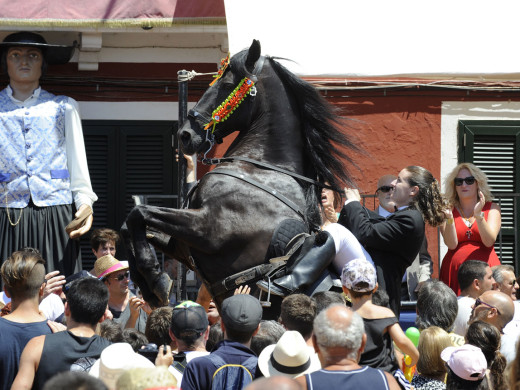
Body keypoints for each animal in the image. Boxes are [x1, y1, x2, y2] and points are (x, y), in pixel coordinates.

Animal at [123, 38, 358, 308]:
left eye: (226, 84)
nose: (185, 134)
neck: (260, 168)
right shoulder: (183, 245)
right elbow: (129, 226)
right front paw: (150, 285)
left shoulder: (207, 229)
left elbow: (138, 213)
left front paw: (155, 278)